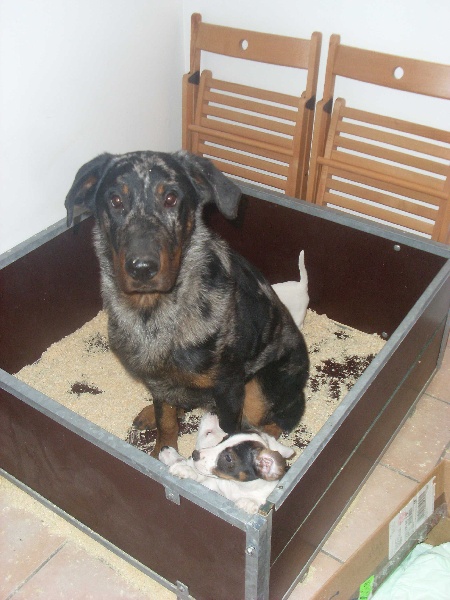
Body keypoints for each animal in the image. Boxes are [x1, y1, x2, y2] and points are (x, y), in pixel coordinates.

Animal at [65, 150, 309, 457]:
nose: (142, 268)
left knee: (275, 421)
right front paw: (164, 452)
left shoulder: (230, 388)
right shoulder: (158, 381)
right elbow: (166, 420)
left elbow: (231, 432)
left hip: (260, 388)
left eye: (171, 198)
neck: (153, 312)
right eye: (115, 200)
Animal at [159, 413, 294, 513]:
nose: (194, 455)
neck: (236, 487)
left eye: (228, 458)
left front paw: (249, 503)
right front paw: (184, 469)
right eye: (223, 440)